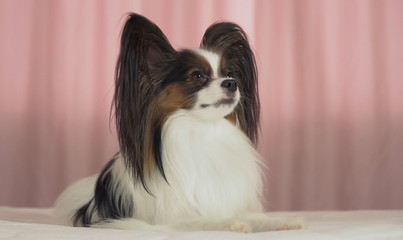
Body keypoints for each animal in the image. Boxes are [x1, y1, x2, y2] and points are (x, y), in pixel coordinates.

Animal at [54, 12, 306, 232]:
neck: (203, 130)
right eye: (197, 76)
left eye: (229, 73)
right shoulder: (175, 219)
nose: (232, 83)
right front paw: (231, 223)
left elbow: (254, 216)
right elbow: (207, 220)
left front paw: (280, 222)